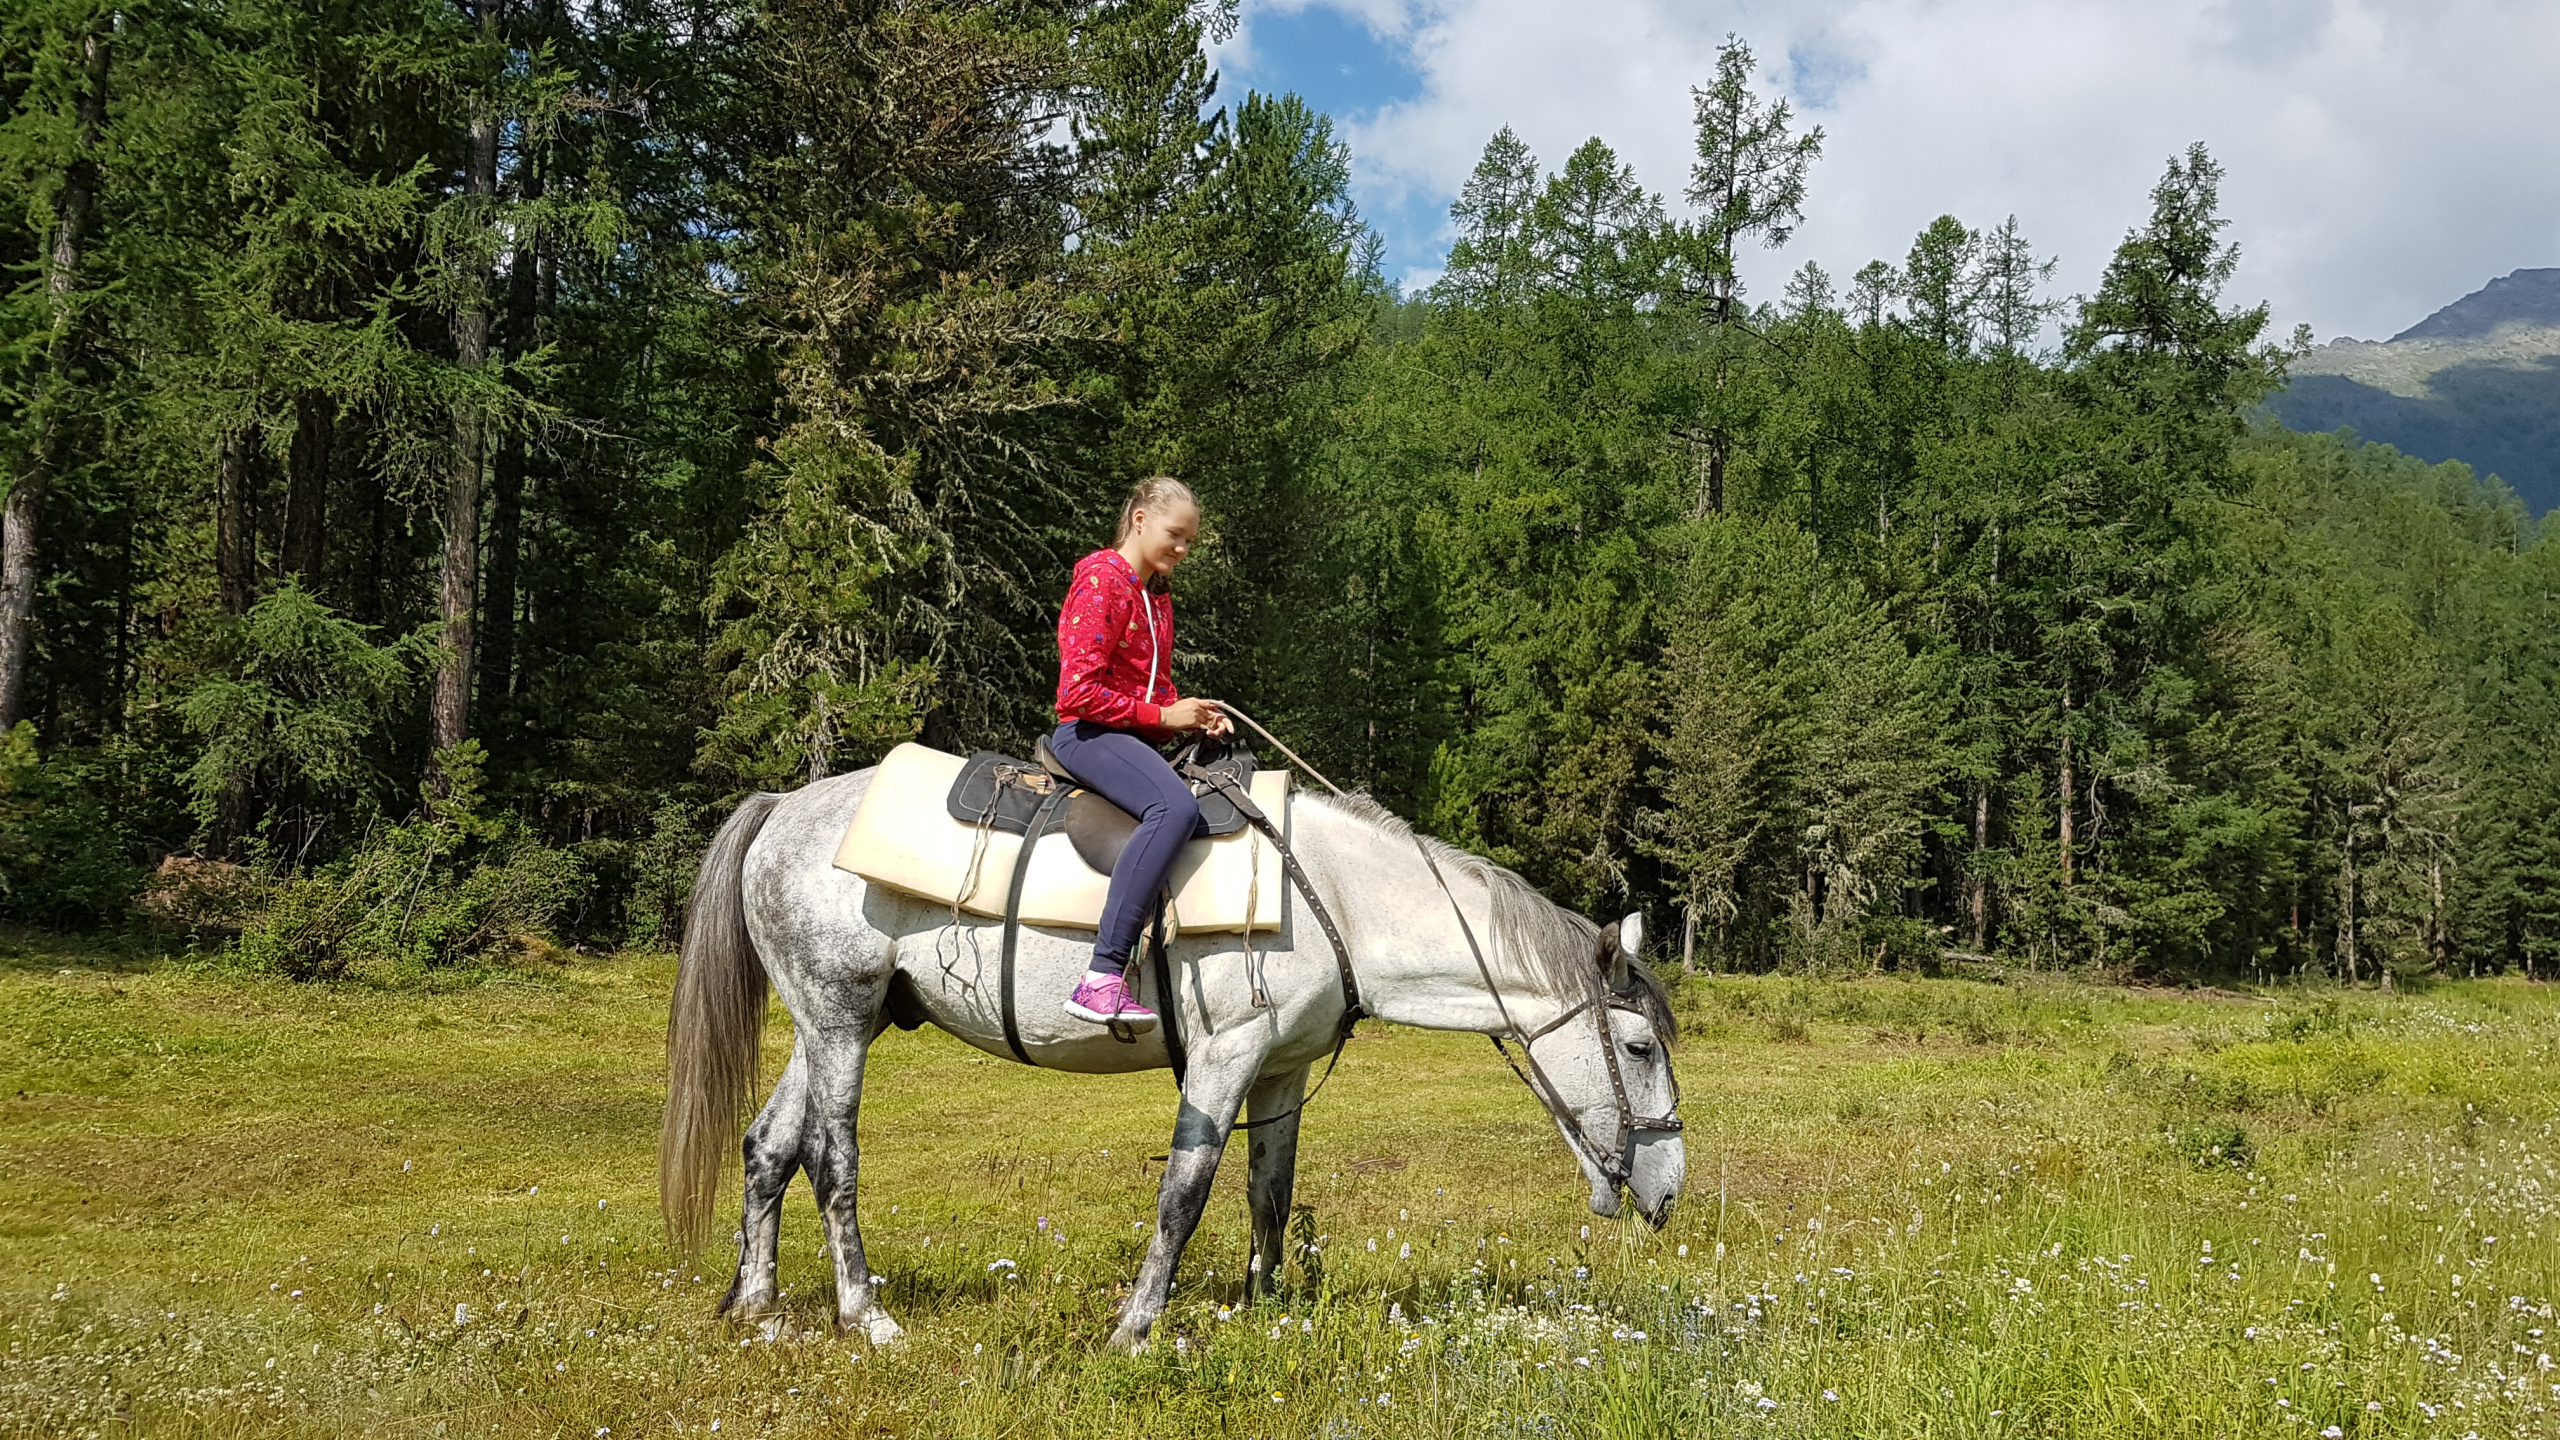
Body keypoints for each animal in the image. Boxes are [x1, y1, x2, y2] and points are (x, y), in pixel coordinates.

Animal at [665, 763, 1679, 1342]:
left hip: (836, 1018)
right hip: (839, 1016)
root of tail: (781, 808)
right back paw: (865, 1314)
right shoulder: (1228, 1054)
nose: (1668, 1191)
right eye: (1636, 1046)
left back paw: (756, 1306)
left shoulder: (1282, 1068)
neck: (1337, 900)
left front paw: (1268, 1313)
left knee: (769, 1144)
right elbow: (1185, 1193)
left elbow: (1270, 1194)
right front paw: (1136, 1326)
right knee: (831, 1155)